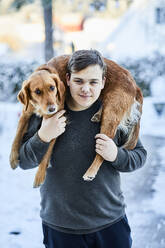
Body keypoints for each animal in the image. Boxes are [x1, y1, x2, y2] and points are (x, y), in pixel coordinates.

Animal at [9, 53, 142, 186]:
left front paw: (39, 176)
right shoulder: (25, 113)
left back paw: (91, 171)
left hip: (111, 112)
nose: (52, 109)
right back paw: (98, 114)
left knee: (104, 149)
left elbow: (46, 154)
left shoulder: (57, 121)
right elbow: (17, 135)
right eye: (37, 91)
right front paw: (13, 158)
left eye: (52, 88)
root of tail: (134, 83)